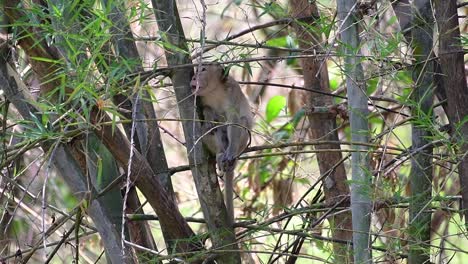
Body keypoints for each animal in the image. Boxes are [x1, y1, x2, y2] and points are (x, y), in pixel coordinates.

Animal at [189, 63, 252, 226]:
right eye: (196, 69)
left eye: (203, 69)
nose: (194, 77)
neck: (214, 90)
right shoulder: (201, 98)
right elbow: (206, 111)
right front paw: (209, 114)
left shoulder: (232, 92)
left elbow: (234, 119)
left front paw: (230, 152)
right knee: (208, 129)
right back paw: (219, 153)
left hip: (242, 144)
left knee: (242, 122)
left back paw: (229, 156)